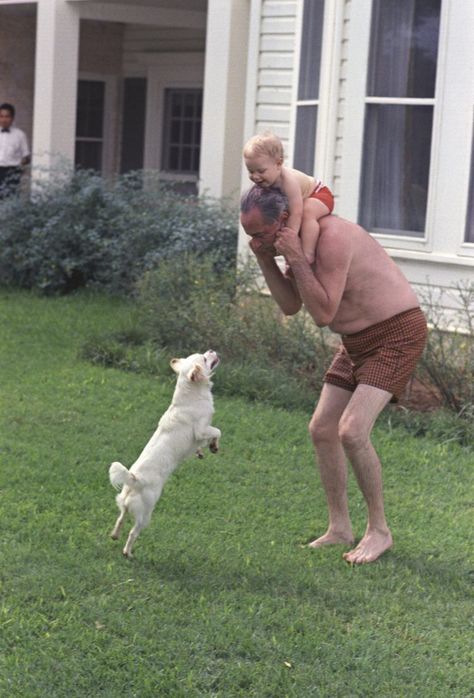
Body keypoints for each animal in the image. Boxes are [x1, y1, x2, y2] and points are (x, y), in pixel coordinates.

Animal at [109, 350, 222, 556]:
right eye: (204, 359)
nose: (211, 350)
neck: (191, 393)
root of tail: (134, 480)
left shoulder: (200, 435)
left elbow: (203, 442)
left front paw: (202, 451)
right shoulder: (201, 429)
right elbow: (217, 431)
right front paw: (214, 446)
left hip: (125, 504)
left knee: (120, 518)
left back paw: (114, 535)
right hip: (146, 514)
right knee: (133, 532)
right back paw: (128, 552)